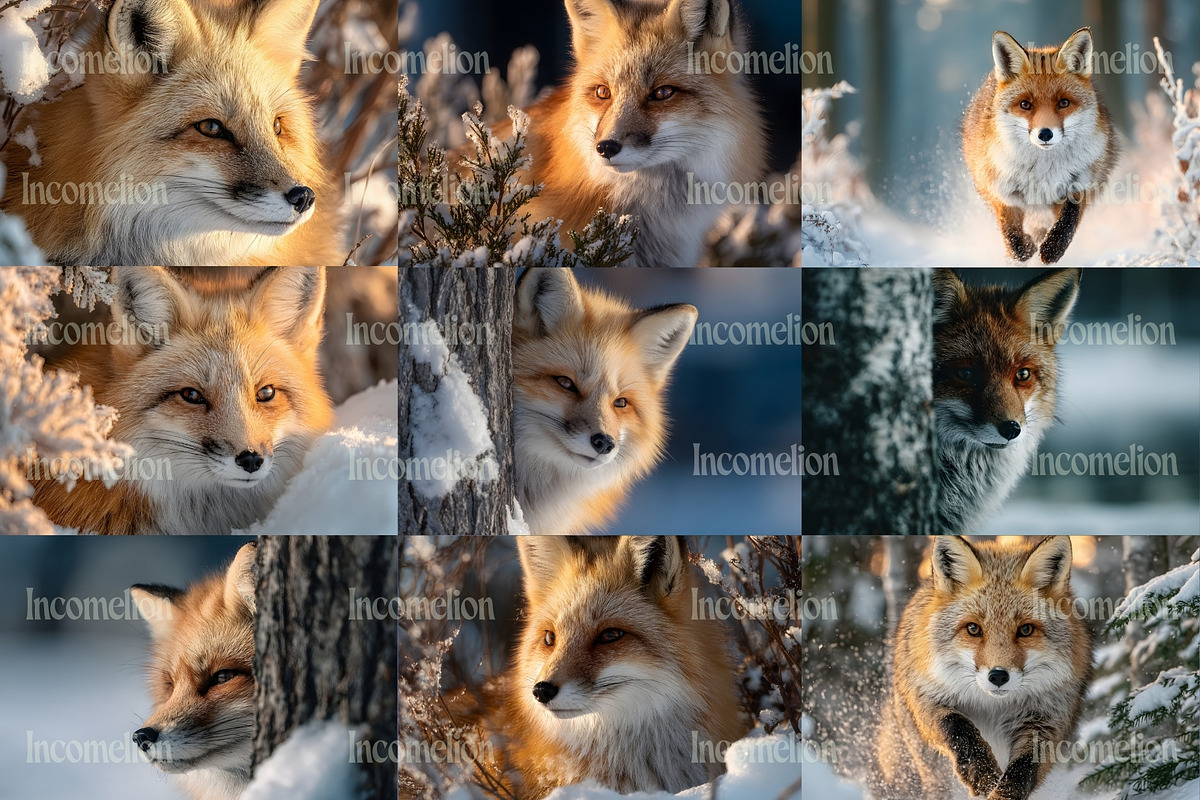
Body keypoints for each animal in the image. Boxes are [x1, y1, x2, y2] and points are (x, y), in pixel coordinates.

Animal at [873, 535, 1093, 800]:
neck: (992, 707)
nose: (998, 676)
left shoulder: (1049, 718)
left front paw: (1002, 794)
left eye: (1025, 630)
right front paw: (982, 774)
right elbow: (959, 728)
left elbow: (1025, 768)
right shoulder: (927, 699)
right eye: (973, 629)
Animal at [962, 28, 1118, 265]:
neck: (1043, 171)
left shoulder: (1081, 182)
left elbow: (1068, 221)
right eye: (1025, 104)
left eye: (1064, 103)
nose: (1045, 134)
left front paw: (1053, 248)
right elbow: (1013, 237)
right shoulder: (1001, 188)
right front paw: (1025, 248)